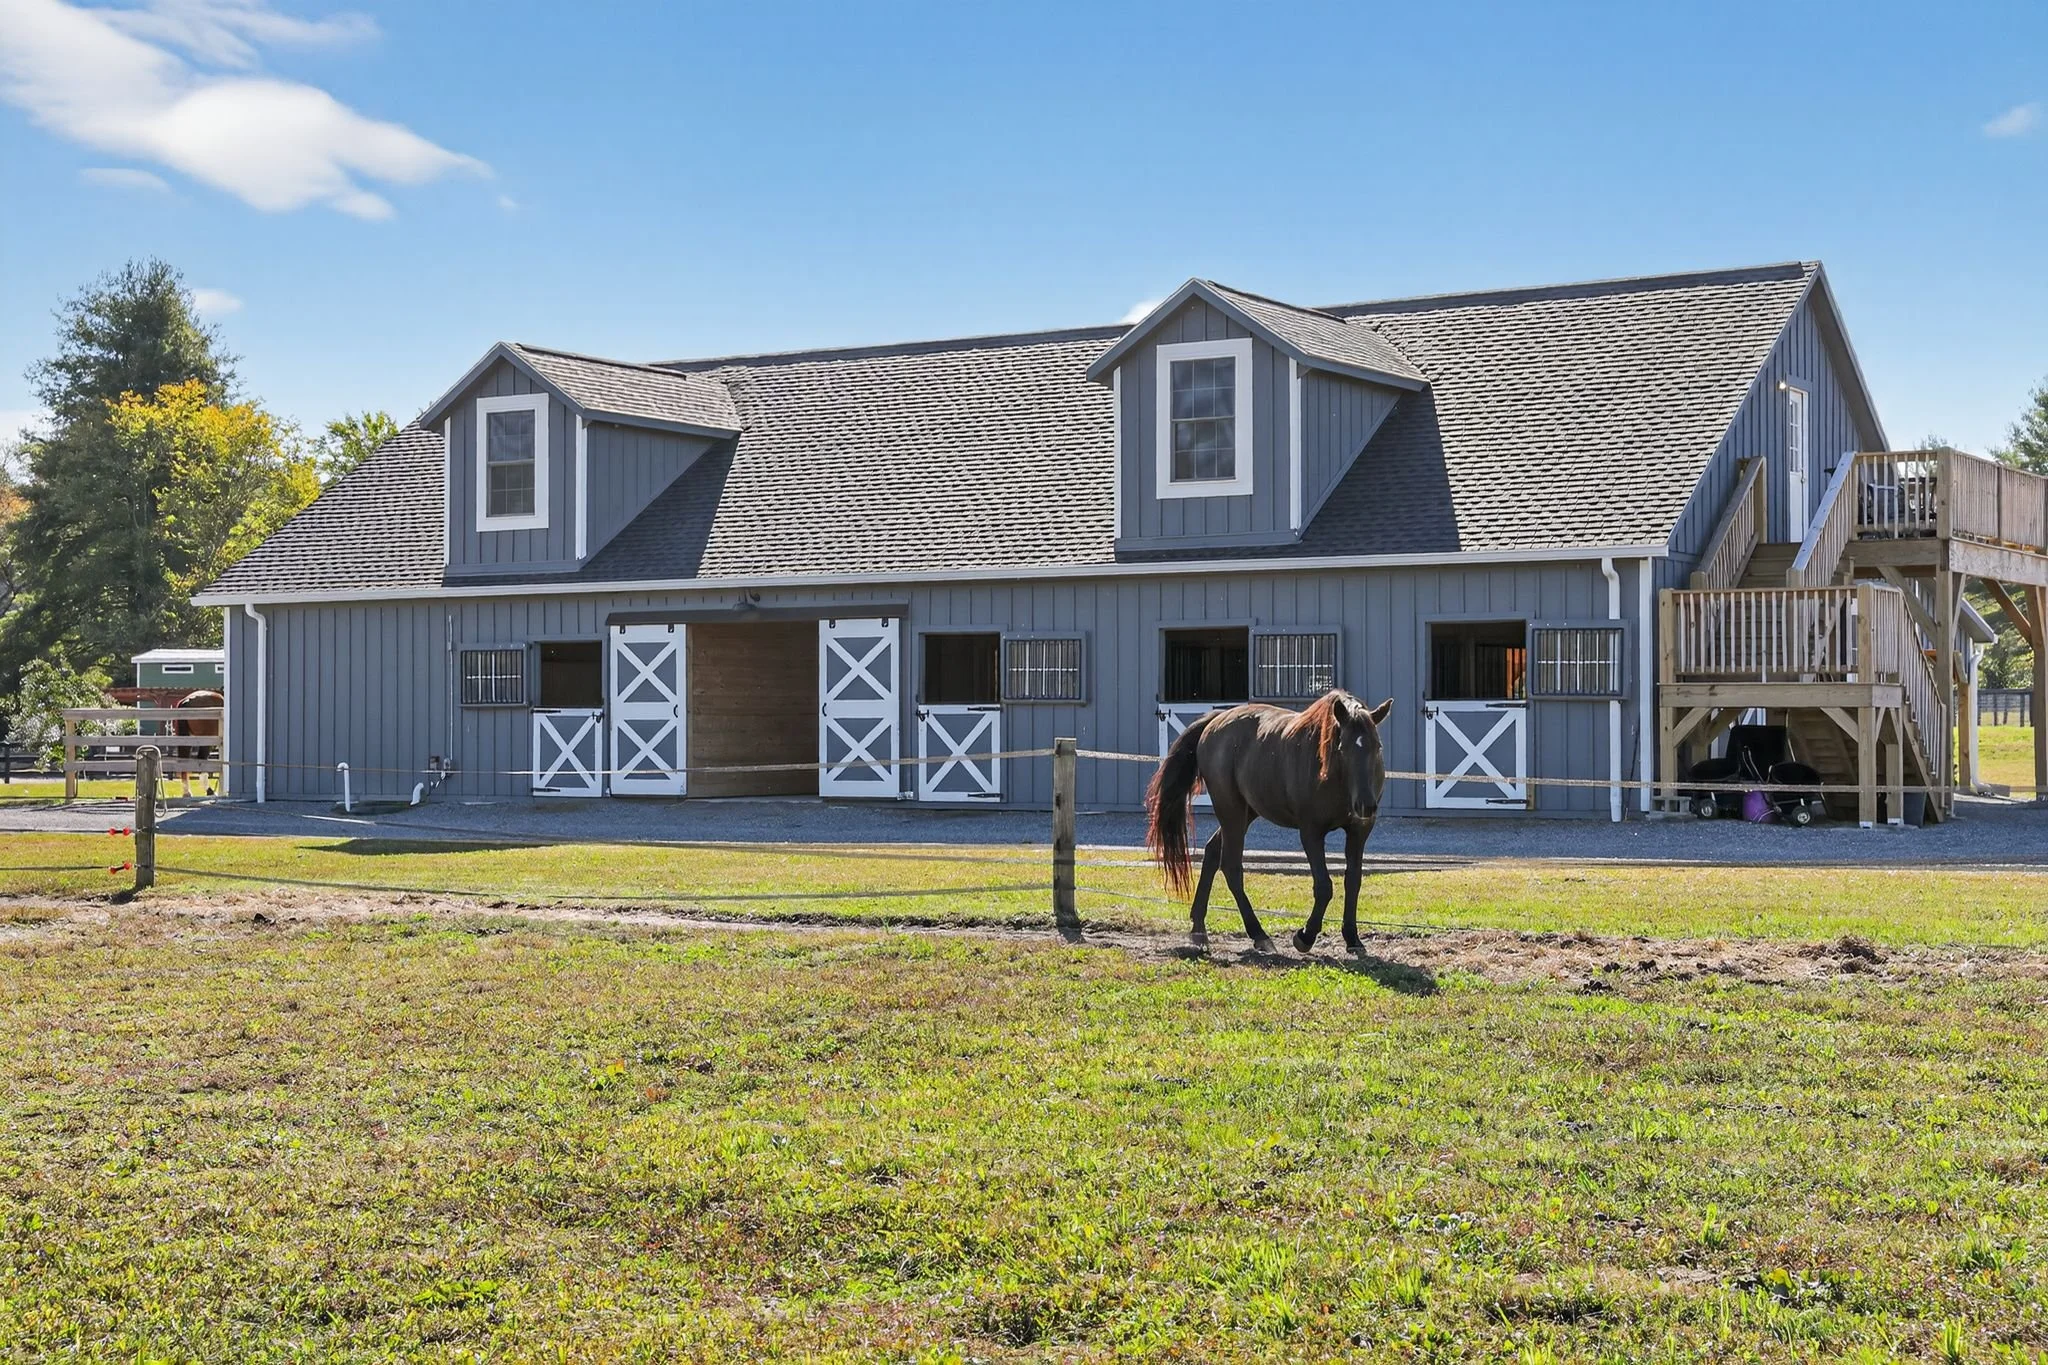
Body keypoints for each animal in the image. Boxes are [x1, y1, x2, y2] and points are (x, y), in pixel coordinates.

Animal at [1145, 690, 1393, 956]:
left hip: (1246, 812)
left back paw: (1199, 929)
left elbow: (1353, 881)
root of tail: (1216, 720)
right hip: (1231, 811)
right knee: (1231, 867)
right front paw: (1305, 936)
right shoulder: (1311, 832)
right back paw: (1259, 934)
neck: (1334, 774)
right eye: (1343, 748)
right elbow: (1324, 886)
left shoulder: (1359, 831)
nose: (1366, 805)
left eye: (1377, 746)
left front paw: (1352, 938)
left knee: (1212, 852)